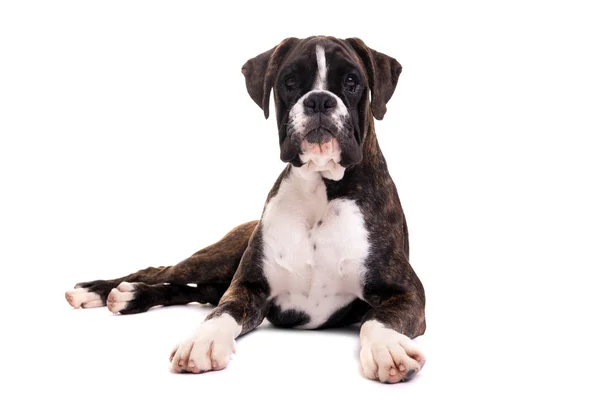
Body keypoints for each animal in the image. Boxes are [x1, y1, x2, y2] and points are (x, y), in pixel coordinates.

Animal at [65, 36, 426, 382]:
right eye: (290, 81)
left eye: (352, 81)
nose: (319, 100)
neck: (320, 190)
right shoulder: (248, 288)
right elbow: (223, 312)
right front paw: (203, 340)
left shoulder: (407, 294)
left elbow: (376, 320)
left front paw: (388, 349)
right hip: (213, 259)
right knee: (162, 273)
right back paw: (96, 291)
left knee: (191, 292)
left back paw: (131, 297)